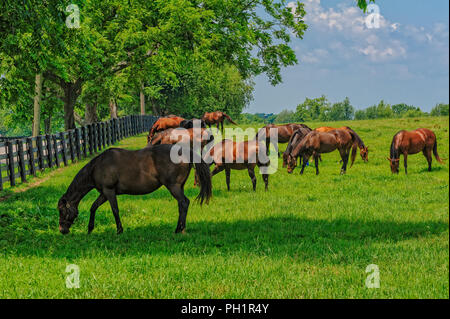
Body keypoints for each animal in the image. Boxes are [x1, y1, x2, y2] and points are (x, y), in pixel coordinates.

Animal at [57, 145, 212, 235]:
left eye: (62, 210)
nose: (62, 230)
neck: (98, 166)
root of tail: (184, 151)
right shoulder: (104, 193)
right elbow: (93, 207)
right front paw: (90, 229)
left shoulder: (109, 191)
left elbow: (115, 210)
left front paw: (119, 230)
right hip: (179, 187)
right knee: (182, 204)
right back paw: (181, 228)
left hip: (173, 186)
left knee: (183, 203)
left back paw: (178, 229)